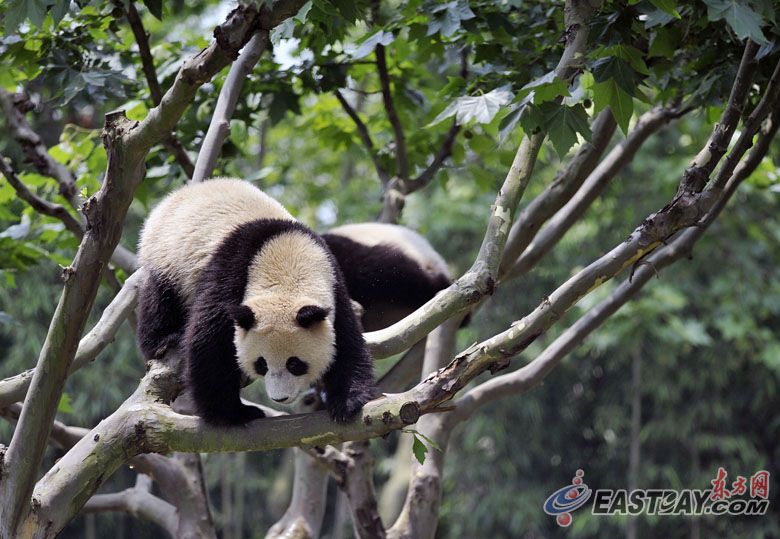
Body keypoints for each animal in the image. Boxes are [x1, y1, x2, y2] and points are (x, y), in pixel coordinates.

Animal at [136, 178, 374, 426]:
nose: (280, 398)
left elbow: (346, 339)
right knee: (159, 297)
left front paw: (346, 401)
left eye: (295, 363)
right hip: (169, 256)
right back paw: (163, 340)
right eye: (261, 364)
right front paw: (232, 413)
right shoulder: (232, 273)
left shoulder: (333, 282)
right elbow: (208, 340)